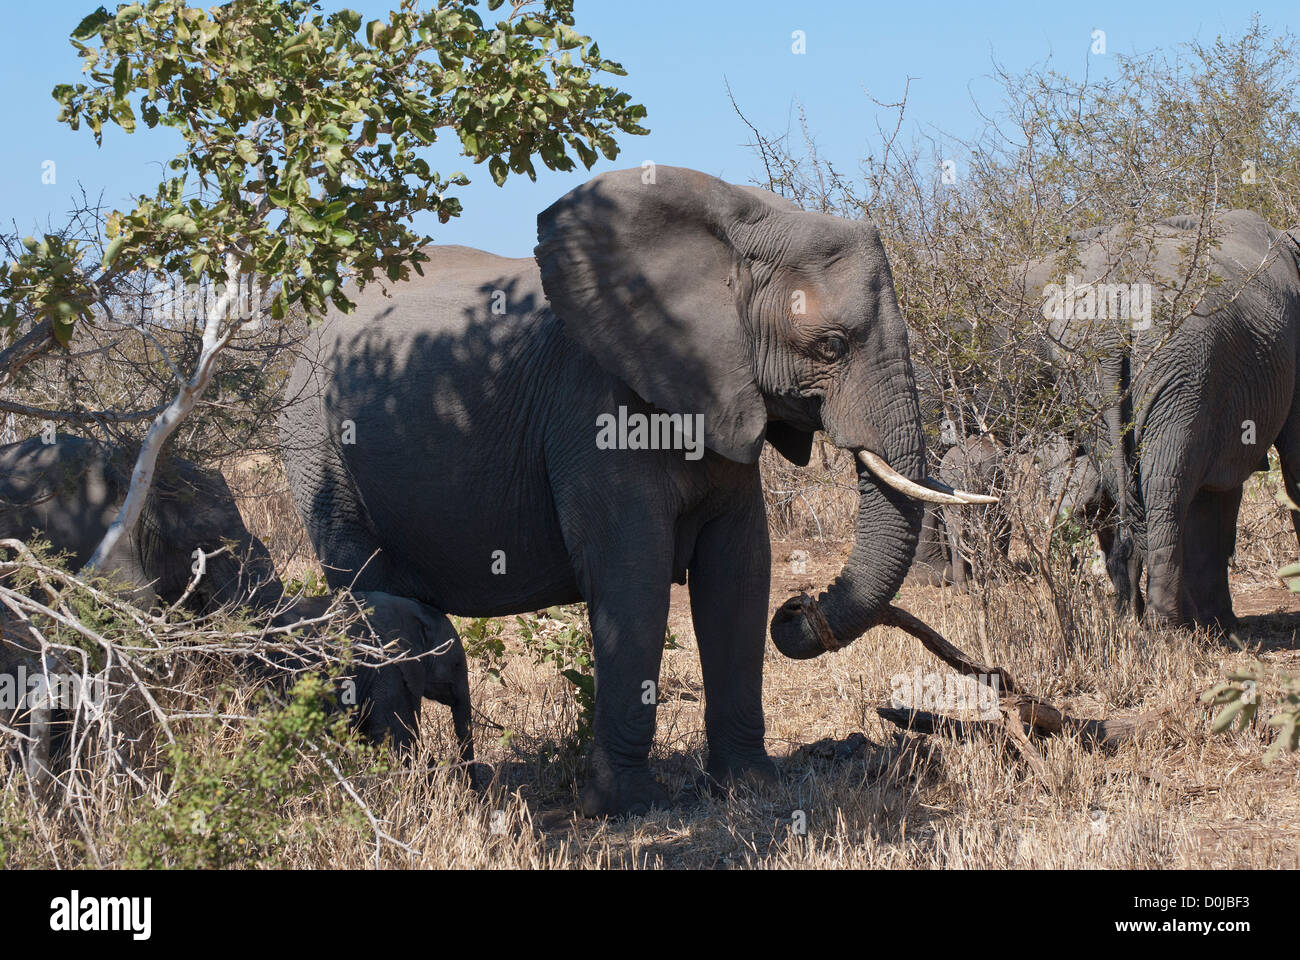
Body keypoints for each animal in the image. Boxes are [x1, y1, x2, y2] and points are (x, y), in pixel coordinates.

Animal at [276, 164, 982, 816]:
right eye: (832, 345)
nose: (800, 610)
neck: (740, 225)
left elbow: (739, 570)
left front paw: (749, 785)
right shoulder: (597, 405)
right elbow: (633, 578)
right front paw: (629, 807)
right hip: (318, 446)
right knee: (361, 586)